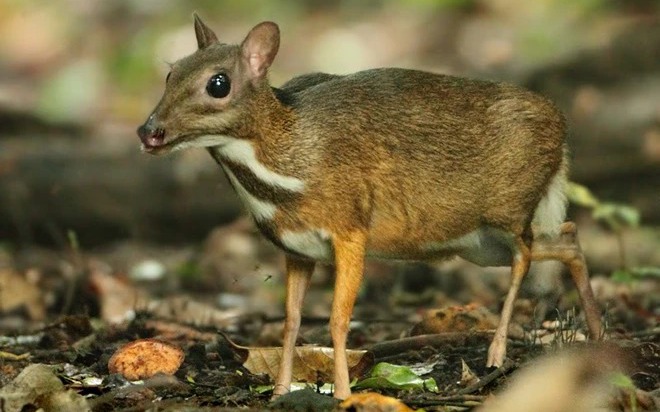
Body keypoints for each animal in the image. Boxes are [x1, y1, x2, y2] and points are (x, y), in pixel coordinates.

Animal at [137, 15, 600, 400]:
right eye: (170, 73)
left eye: (218, 83)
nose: (149, 131)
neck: (289, 163)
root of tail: (561, 126)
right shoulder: (296, 249)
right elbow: (291, 321)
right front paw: (281, 390)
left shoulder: (351, 229)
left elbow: (338, 320)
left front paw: (343, 392)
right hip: (479, 243)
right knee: (567, 236)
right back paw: (597, 330)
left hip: (508, 211)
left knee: (527, 254)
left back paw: (498, 352)